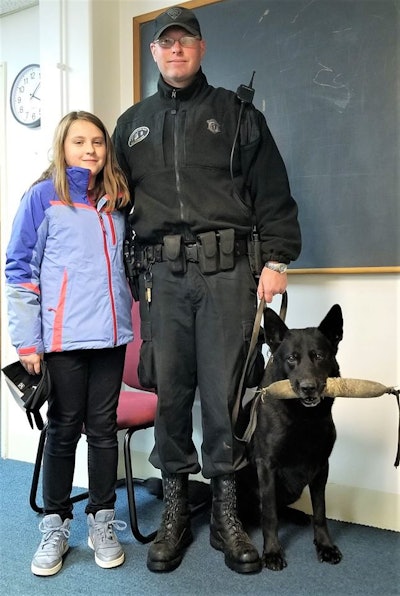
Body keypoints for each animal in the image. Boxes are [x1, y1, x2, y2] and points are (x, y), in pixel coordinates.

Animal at [238, 304, 344, 572]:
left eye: (319, 356)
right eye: (291, 358)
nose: (308, 388)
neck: (304, 417)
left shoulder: (321, 466)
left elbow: (320, 511)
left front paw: (325, 546)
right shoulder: (266, 466)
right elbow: (269, 516)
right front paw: (273, 551)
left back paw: (296, 515)